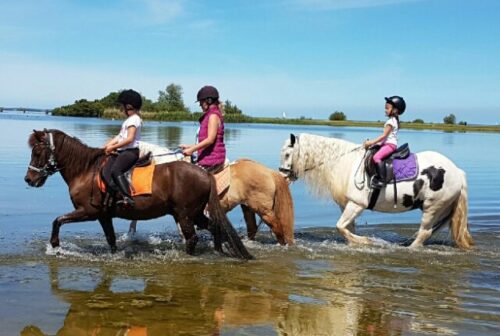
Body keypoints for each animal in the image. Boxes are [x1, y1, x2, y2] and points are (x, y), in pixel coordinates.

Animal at [23, 129, 252, 260]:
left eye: (37, 152)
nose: (29, 179)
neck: (85, 170)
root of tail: (205, 174)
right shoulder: (104, 216)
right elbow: (111, 239)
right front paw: (116, 255)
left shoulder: (88, 211)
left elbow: (58, 220)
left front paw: (55, 246)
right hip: (193, 214)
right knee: (214, 227)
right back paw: (218, 252)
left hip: (185, 214)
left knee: (193, 237)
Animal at [129, 141, 294, 244]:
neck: (167, 171)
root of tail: (269, 171)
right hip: (247, 207)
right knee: (252, 228)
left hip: (263, 209)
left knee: (278, 228)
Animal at [280, 133, 474, 248]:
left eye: (288, 154)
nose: (282, 176)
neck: (346, 163)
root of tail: (458, 172)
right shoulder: (347, 206)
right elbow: (347, 229)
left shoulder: (357, 204)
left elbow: (340, 227)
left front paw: (367, 241)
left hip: (432, 208)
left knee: (424, 233)